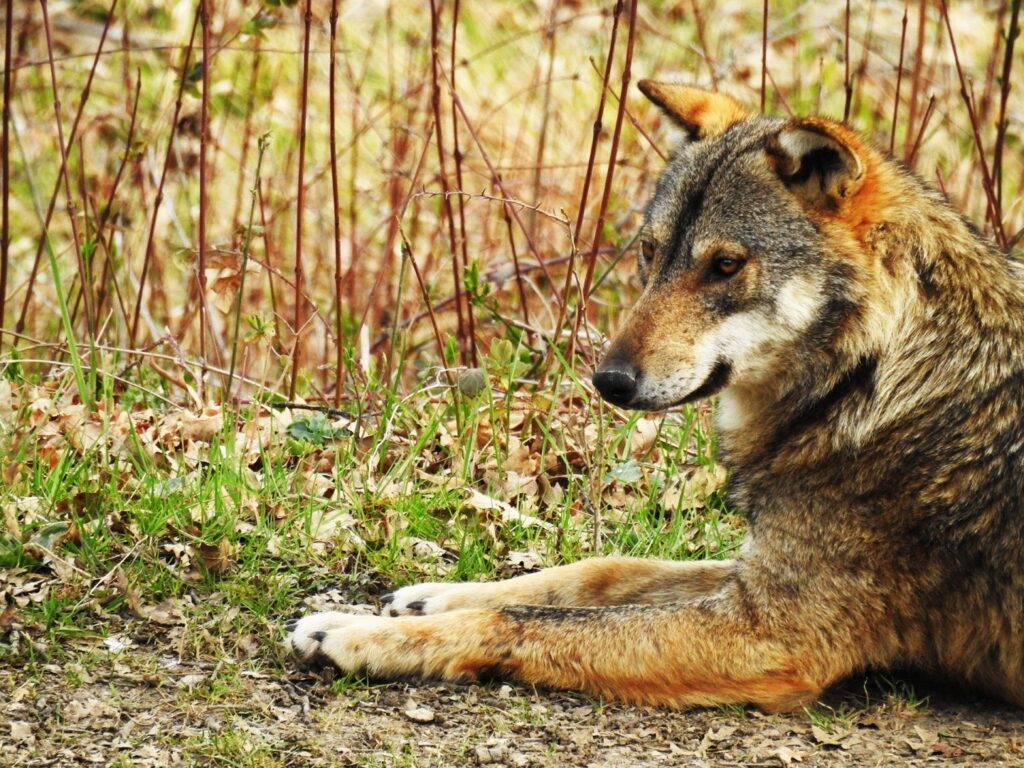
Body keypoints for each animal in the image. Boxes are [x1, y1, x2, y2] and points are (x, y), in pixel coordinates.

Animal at [287, 83, 1024, 711]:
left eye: (724, 265)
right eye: (650, 252)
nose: (608, 381)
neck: (873, 374)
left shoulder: (768, 634)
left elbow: (525, 619)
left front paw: (355, 635)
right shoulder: (748, 575)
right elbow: (595, 573)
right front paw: (433, 596)